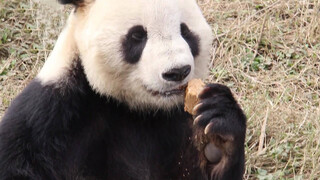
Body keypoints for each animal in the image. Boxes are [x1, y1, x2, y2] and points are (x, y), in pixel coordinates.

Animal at [0, 0, 246, 180]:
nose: (177, 71)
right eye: (137, 35)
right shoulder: (52, 115)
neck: (136, 109)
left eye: (185, 31)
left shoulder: (178, 122)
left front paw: (218, 139)